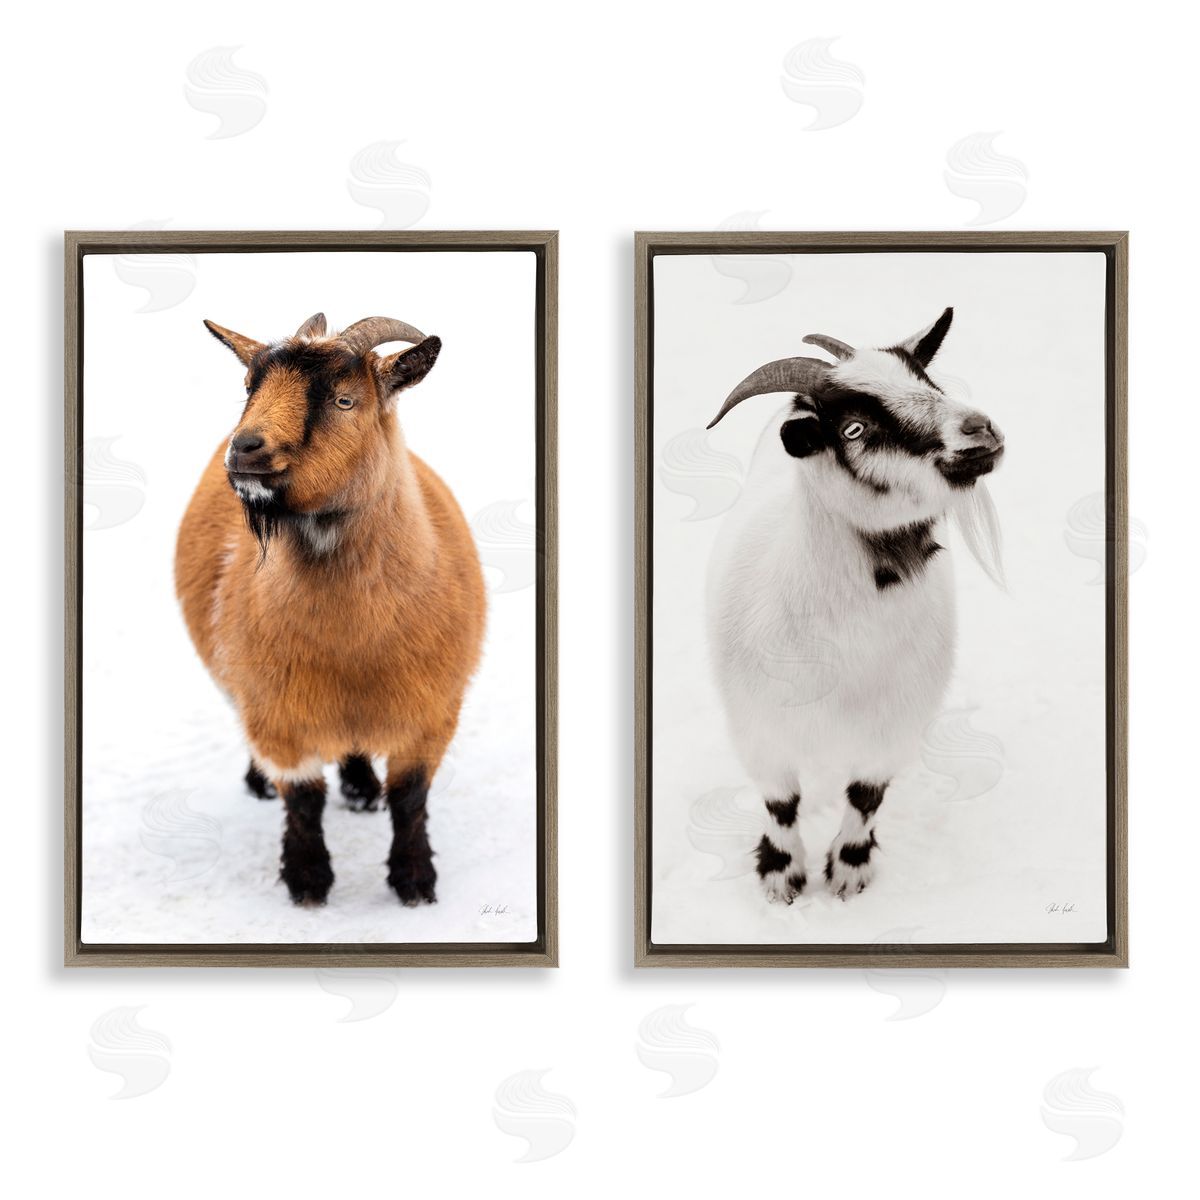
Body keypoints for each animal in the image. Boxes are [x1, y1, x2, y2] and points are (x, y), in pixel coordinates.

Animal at [175, 312, 485, 906]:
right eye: (249, 387)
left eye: (345, 400)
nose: (245, 449)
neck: (353, 646)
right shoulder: (277, 713)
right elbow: (303, 799)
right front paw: (308, 882)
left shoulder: (433, 712)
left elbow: (410, 799)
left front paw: (415, 883)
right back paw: (261, 784)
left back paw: (362, 787)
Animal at [705, 308, 1004, 902]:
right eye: (854, 428)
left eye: (929, 383)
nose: (979, 430)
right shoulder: (757, 728)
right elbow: (781, 803)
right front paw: (781, 877)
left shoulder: (894, 726)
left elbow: (866, 798)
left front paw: (848, 872)